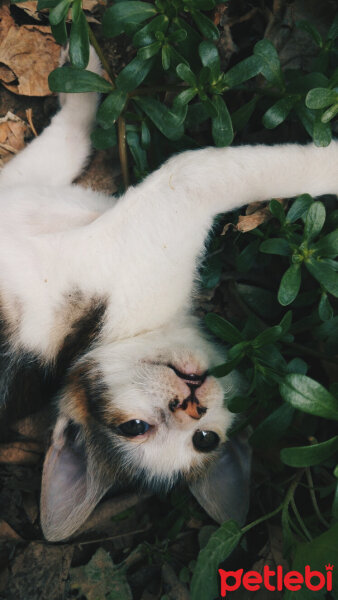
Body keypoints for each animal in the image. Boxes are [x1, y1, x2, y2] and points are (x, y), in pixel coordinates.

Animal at [0, 49, 338, 540]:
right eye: (135, 428)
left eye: (206, 439)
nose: (191, 405)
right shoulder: (157, 215)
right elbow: (198, 167)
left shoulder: (25, 190)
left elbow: (68, 143)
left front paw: (83, 77)